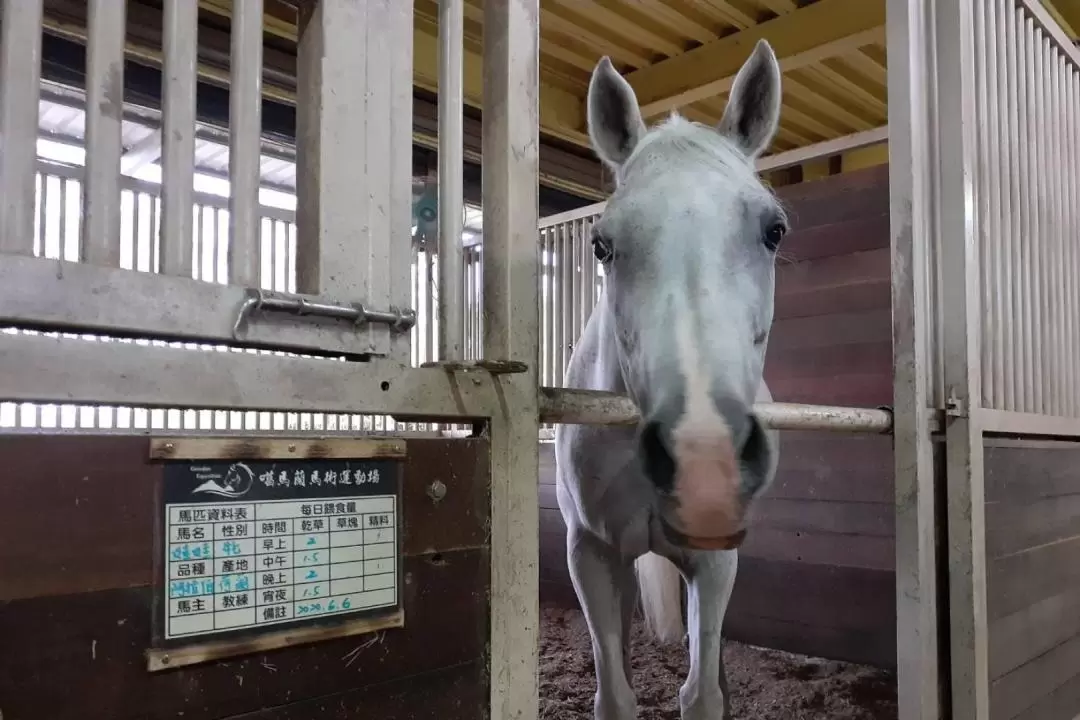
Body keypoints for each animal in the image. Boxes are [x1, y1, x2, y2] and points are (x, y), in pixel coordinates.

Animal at [557, 40, 786, 720]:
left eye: (774, 231)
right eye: (601, 245)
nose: (701, 454)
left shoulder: (714, 560)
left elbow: (701, 691)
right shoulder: (591, 555)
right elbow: (615, 695)